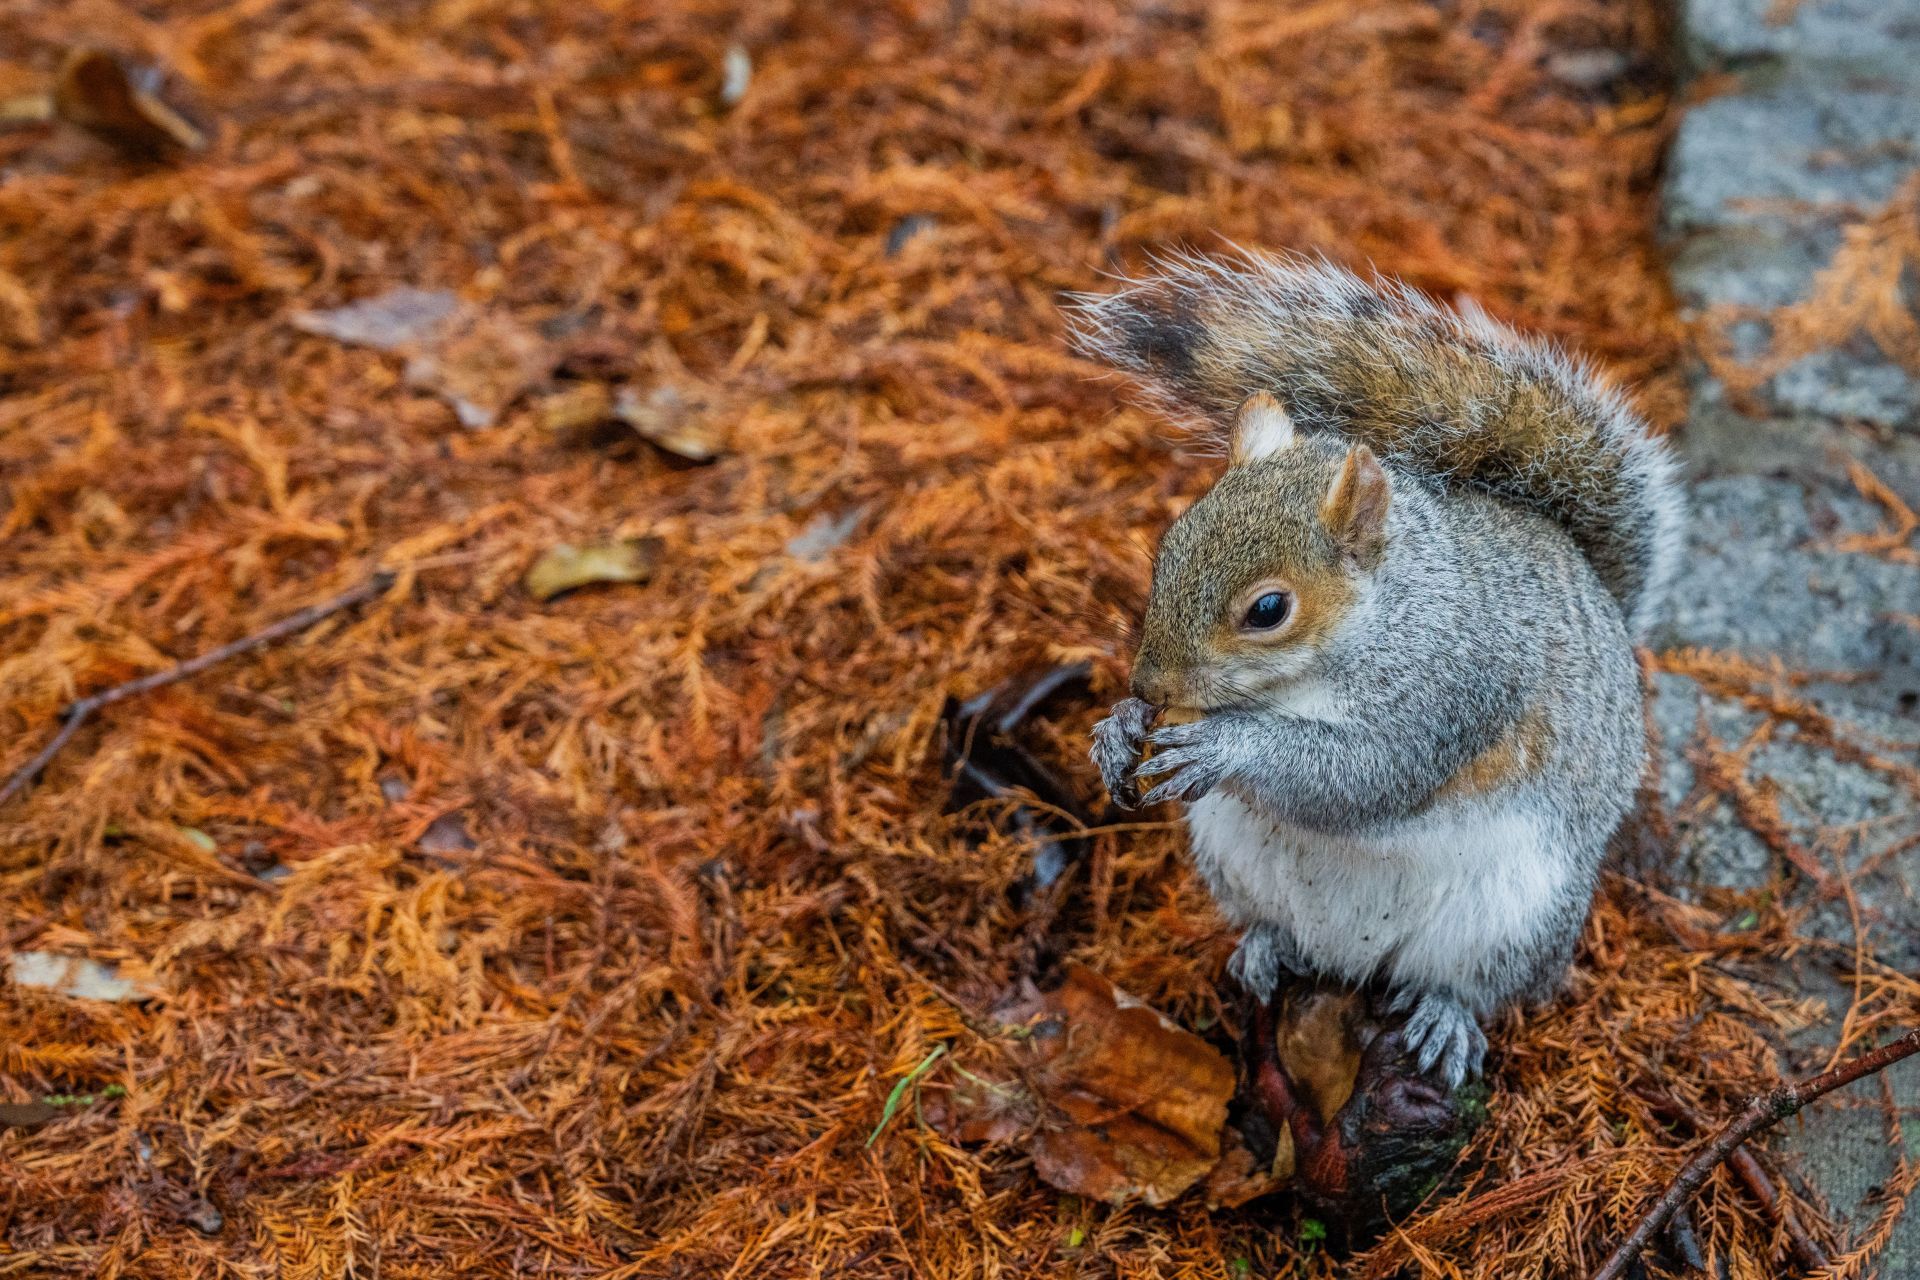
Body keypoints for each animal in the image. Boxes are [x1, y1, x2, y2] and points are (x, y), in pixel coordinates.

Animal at [1082, 255, 1681, 1090]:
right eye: (1169, 547)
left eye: (1268, 609)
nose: (1150, 686)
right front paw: (1119, 728)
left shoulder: (1454, 691)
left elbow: (1364, 776)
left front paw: (1225, 747)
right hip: (1232, 861)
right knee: (1272, 925)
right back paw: (1264, 946)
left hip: (1515, 920)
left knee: (1479, 986)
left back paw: (1445, 1017)